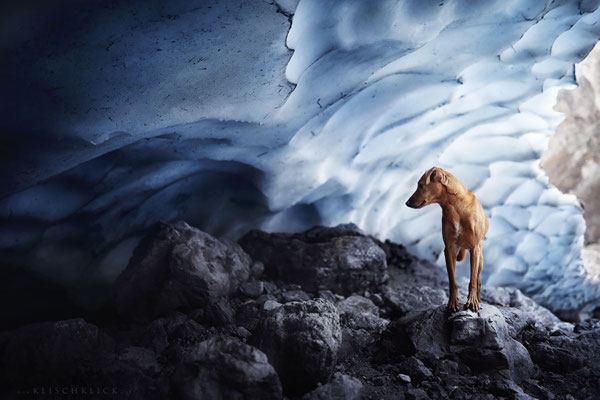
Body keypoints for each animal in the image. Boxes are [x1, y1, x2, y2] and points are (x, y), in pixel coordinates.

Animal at [406, 166, 490, 312]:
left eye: (421, 185)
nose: (407, 203)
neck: (454, 208)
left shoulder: (474, 249)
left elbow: (472, 281)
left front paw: (472, 301)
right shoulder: (449, 249)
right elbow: (452, 280)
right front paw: (452, 303)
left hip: (480, 257)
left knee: (478, 280)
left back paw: (478, 300)